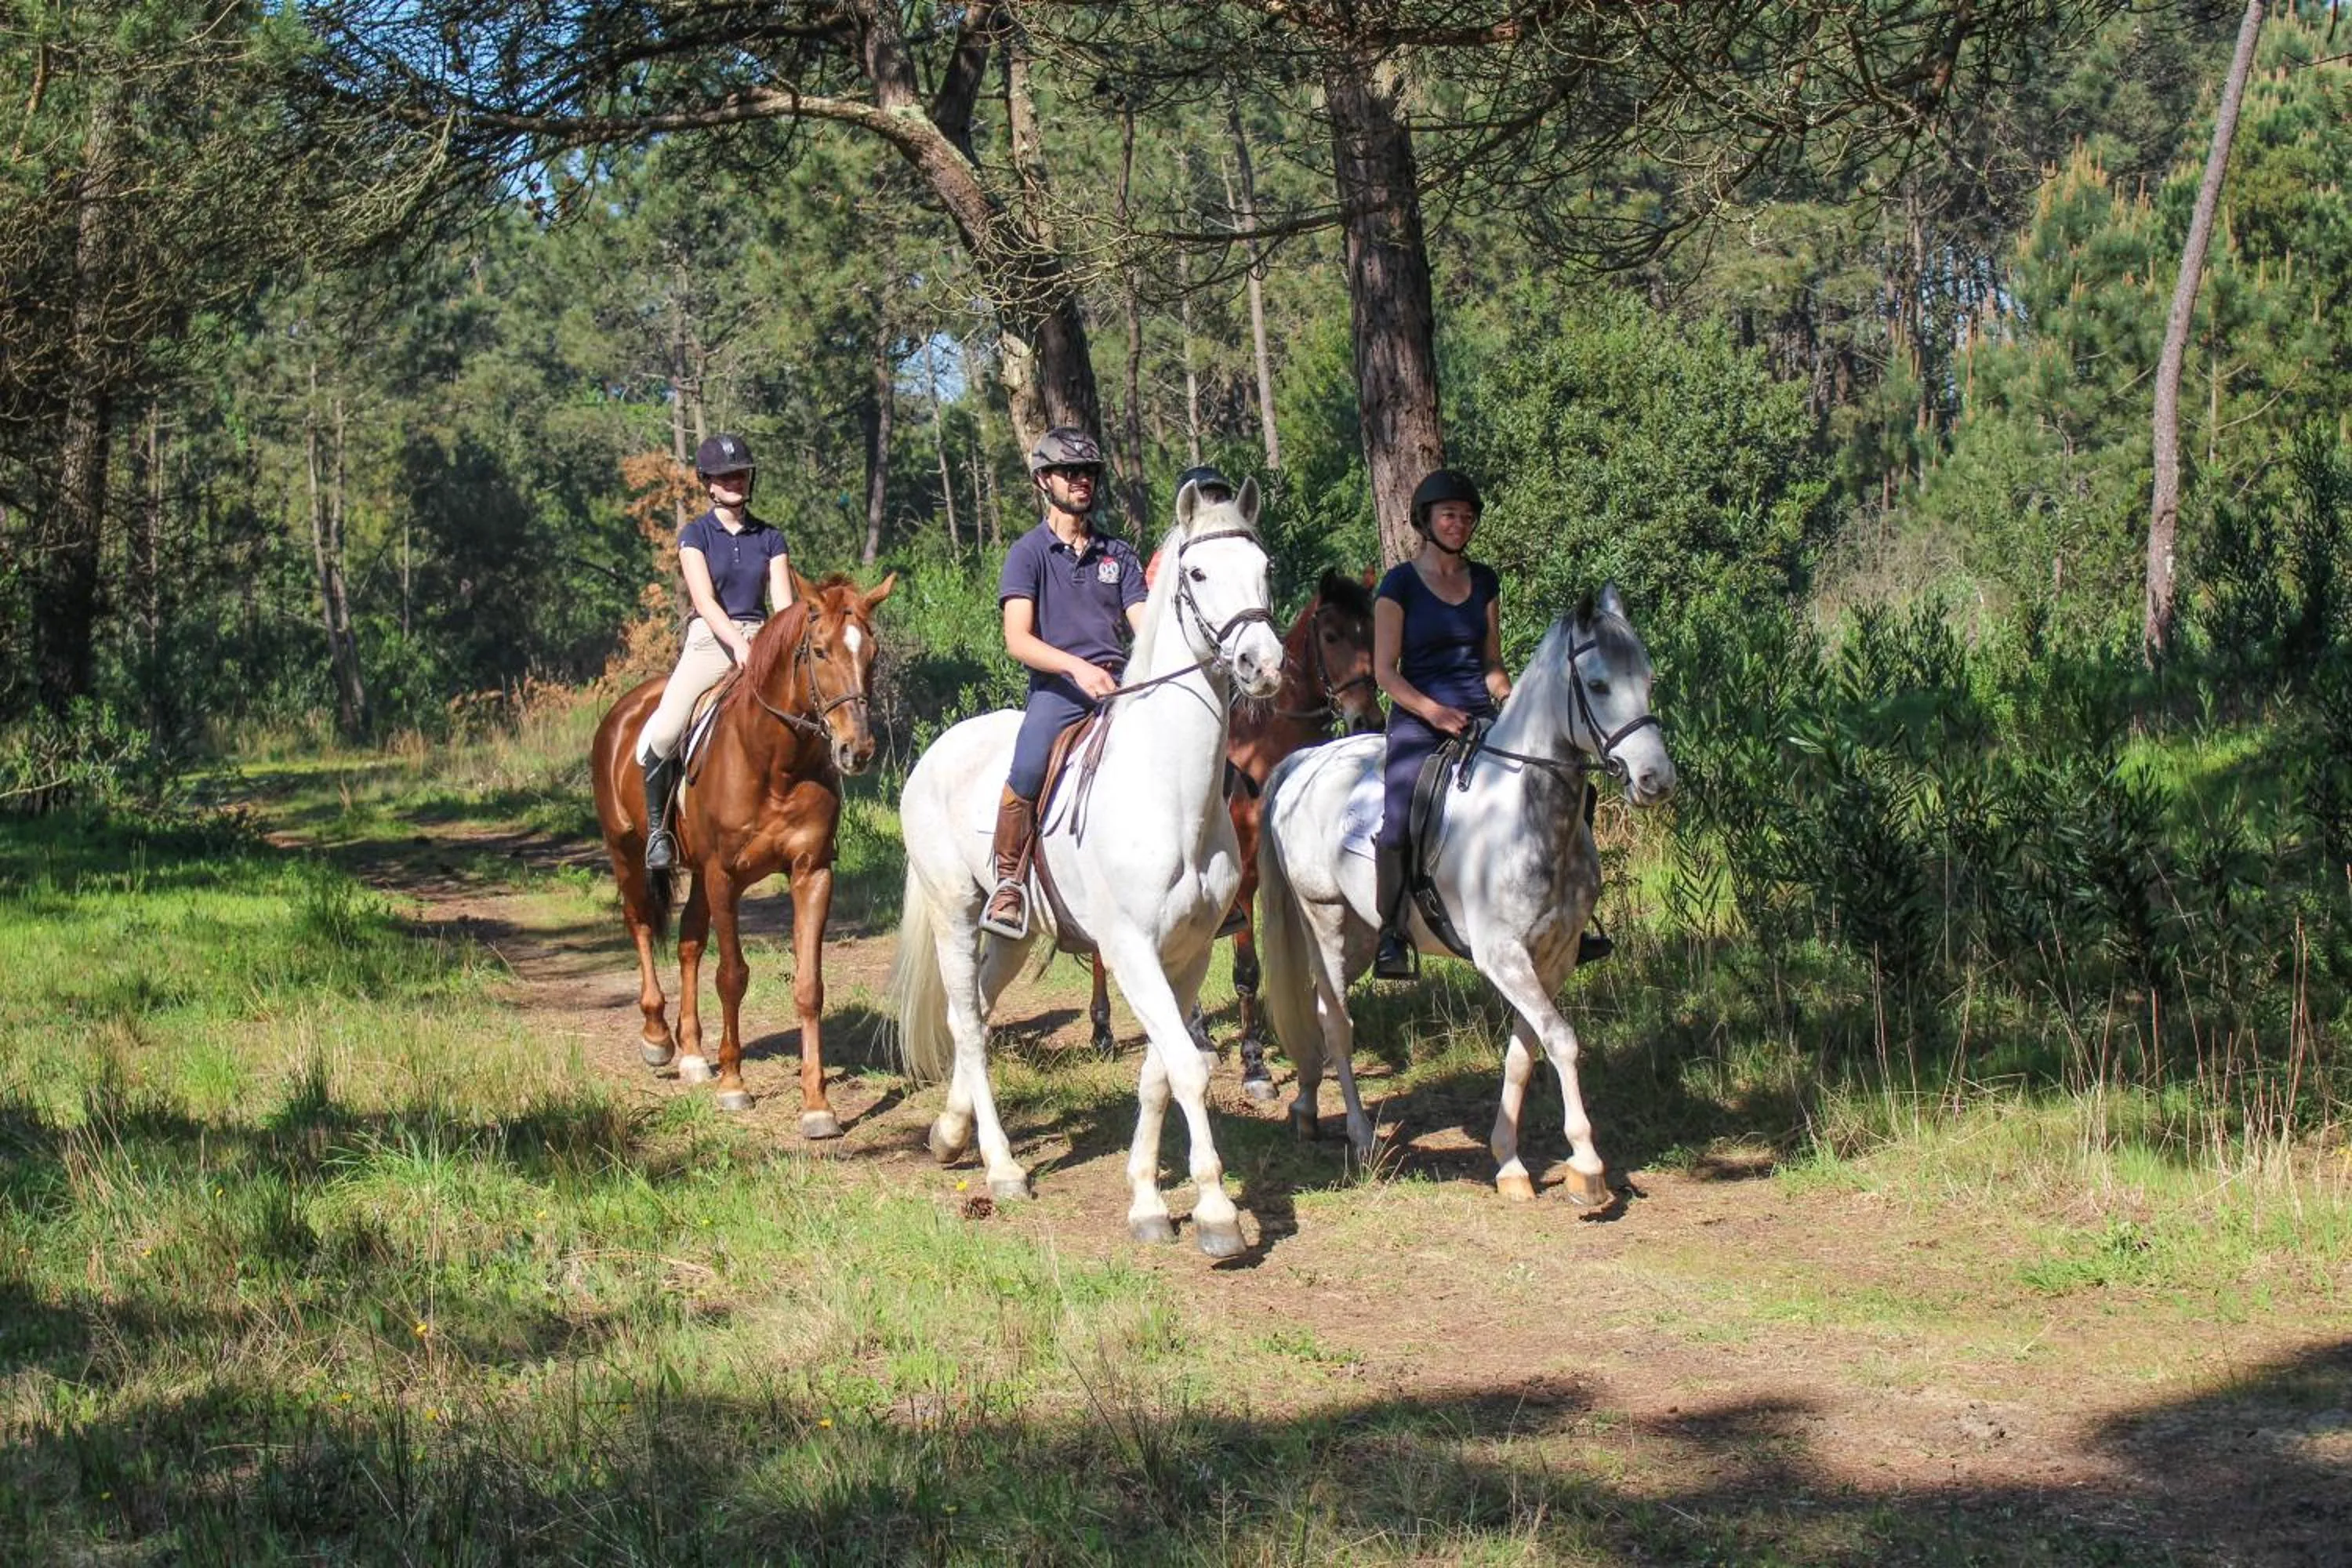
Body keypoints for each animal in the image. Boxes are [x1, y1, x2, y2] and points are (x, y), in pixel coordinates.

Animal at [589, 570, 896, 1136]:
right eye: (819, 651)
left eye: (873, 652)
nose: (857, 751)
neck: (775, 762)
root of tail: (624, 710)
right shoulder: (723, 875)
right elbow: (731, 975)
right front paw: (734, 1085)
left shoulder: (811, 872)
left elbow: (808, 986)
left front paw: (817, 1105)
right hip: (626, 851)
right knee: (641, 923)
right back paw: (657, 1037)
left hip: (697, 877)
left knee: (688, 943)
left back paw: (692, 1054)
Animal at [888, 479, 1286, 1257]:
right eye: (1197, 574)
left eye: (1265, 570)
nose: (1264, 664)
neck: (1170, 790)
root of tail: (935, 752)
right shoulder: (1130, 950)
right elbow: (1187, 1067)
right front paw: (1217, 1214)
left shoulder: (1188, 954)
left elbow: (1162, 1073)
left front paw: (1150, 1203)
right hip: (954, 913)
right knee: (966, 1024)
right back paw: (1002, 1167)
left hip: (1012, 935)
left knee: (979, 1012)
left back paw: (950, 1135)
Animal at [1081, 568, 1382, 1098]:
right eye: (1331, 636)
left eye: (1372, 632)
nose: (1369, 718)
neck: (1259, 755)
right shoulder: (1239, 886)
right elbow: (1246, 973)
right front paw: (1254, 1064)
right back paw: (1103, 1031)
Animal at [1253, 583, 1675, 1205]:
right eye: (1598, 685)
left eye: (1647, 680)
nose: (1656, 780)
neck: (1528, 814)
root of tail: (1304, 761)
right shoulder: (1502, 956)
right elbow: (1562, 1040)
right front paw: (1587, 1168)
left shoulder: (1552, 959)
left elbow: (1525, 1052)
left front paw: (1510, 1163)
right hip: (1324, 918)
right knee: (1336, 1022)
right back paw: (1361, 1136)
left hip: (1360, 935)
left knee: (1319, 1006)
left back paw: (1307, 1106)